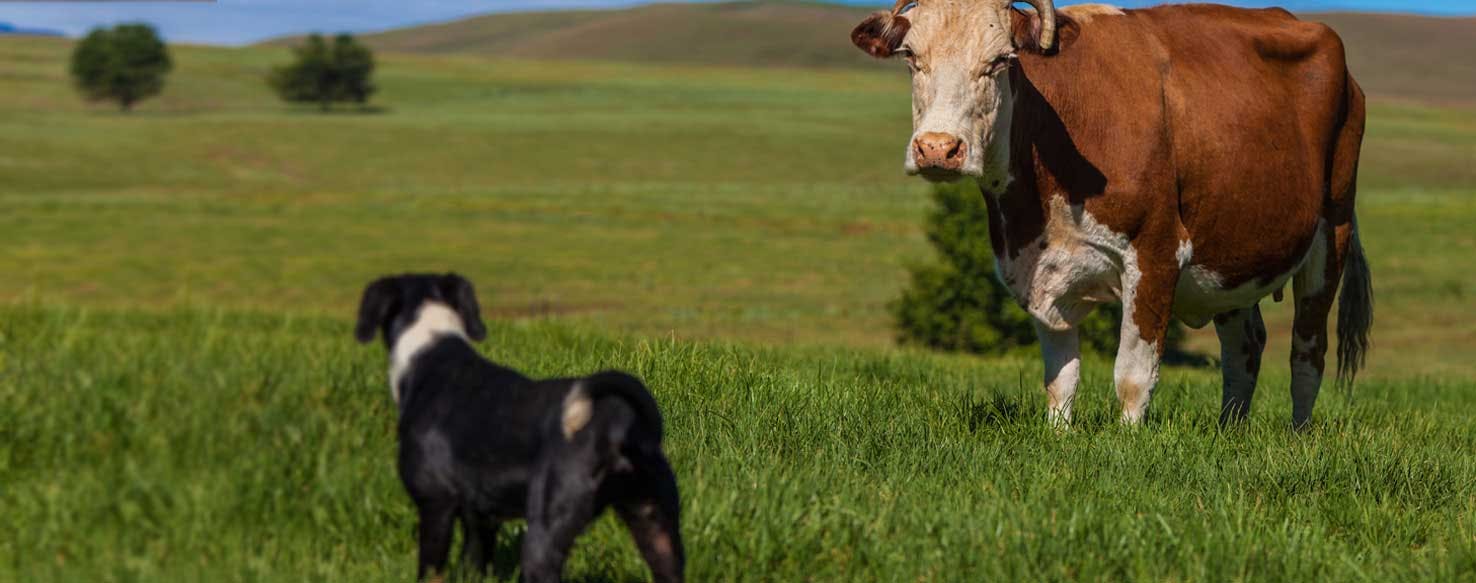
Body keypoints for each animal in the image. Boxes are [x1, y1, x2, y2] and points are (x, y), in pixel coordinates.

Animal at [354, 274, 681, 583]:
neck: (430, 348)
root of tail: (616, 425)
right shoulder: (481, 520)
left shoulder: (435, 506)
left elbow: (429, 571)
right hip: (658, 531)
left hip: (544, 533)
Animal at [856, 1, 1369, 428]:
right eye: (910, 57)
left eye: (1001, 60)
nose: (937, 148)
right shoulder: (1036, 266)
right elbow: (1060, 377)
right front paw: (1058, 435)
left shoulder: (1156, 253)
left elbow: (1133, 373)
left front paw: (1126, 443)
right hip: (1234, 252)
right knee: (1245, 346)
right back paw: (1230, 432)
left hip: (1332, 232)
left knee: (1307, 351)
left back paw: (1298, 435)